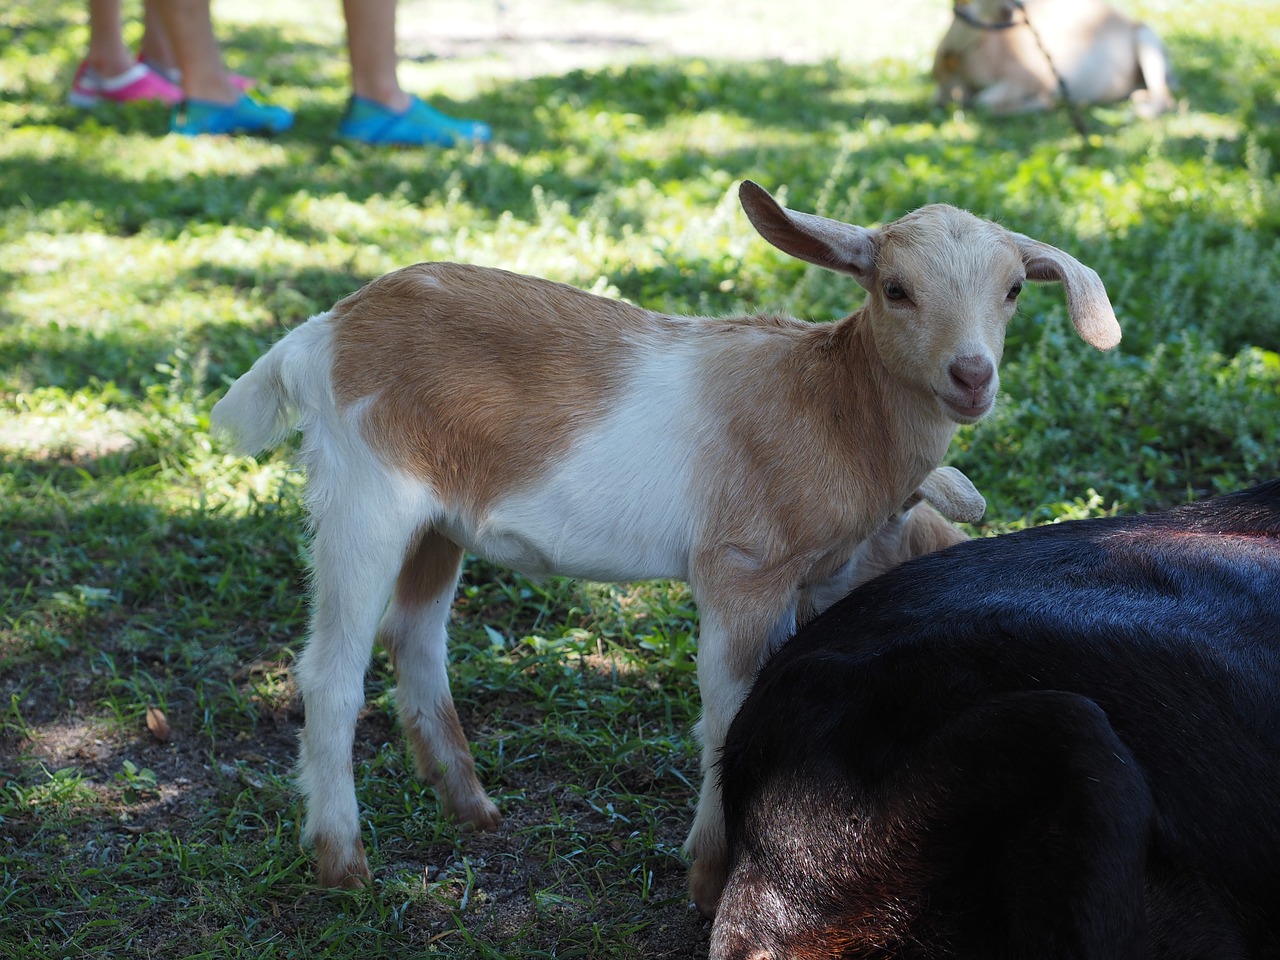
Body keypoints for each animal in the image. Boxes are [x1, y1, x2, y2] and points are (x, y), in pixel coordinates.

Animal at [212, 181, 1121, 916]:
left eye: (1013, 291)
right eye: (896, 290)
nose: (971, 376)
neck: (833, 404)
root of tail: (320, 335)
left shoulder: (804, 581)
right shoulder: (741, 568)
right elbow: (728, 710)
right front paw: (707, 878)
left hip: (438, 521)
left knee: (416, 636)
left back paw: (471, 808)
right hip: (365, 497)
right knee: (330, 672)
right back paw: (344, 865)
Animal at [936, 0, 1172, 118]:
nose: (1018, 6)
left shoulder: (1035, 77)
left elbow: (983, 103)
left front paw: (1044, 103)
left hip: (1146, 41)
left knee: (1165, 100)